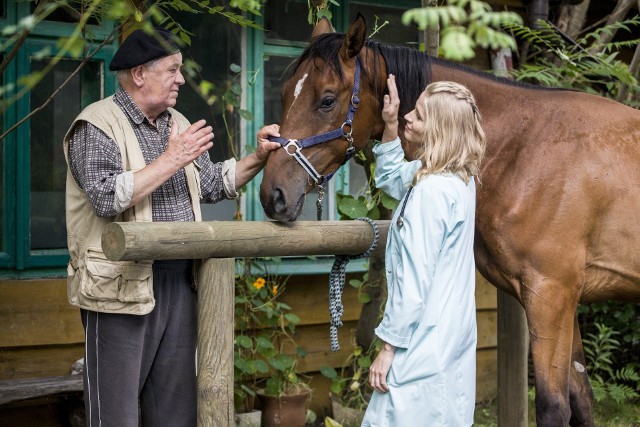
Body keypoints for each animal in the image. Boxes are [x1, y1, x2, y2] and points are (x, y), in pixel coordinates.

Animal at [260, 15, 640, 426]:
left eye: (327, 99)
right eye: (285, 93)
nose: (273, 194)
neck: (526, 148)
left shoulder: (551, 296)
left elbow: (555, 406)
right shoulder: (565, 301)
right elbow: (582, 398)